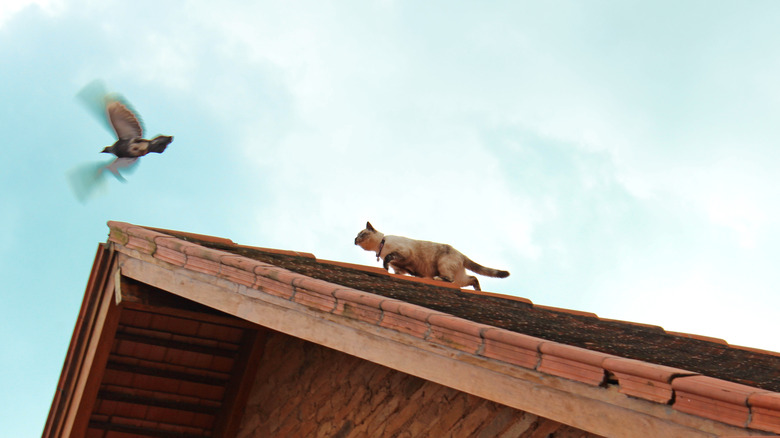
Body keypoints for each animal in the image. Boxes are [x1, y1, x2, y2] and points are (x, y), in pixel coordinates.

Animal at [354, 222, 512, 290]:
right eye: (357, 236)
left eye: (361, 234)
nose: (354, 239)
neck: (381, 247)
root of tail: (461, 254)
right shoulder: (399, 269)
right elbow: (392, 269)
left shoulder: (402, 254)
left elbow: (387, 259)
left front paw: (384, 266)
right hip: (460, 277)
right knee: (473, 278)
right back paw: (478, 290)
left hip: (443, 265)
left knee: (450, 279)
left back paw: (438, 278)